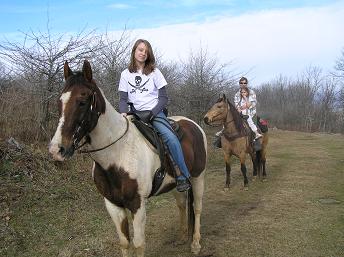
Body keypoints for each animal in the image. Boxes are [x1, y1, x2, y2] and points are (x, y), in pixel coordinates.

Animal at [48, 60, 207, 256]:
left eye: (82, 102)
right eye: (59, 102)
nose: (57, 149)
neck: (117, 155)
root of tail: (193, 124)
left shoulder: (137, 204)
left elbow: (138, 244)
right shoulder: (113, 205)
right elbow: (124, 243)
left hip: (198, 177)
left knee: (197, 208)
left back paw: (195, 243)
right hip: (175, 184)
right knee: (182, 204)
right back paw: (183, 237)